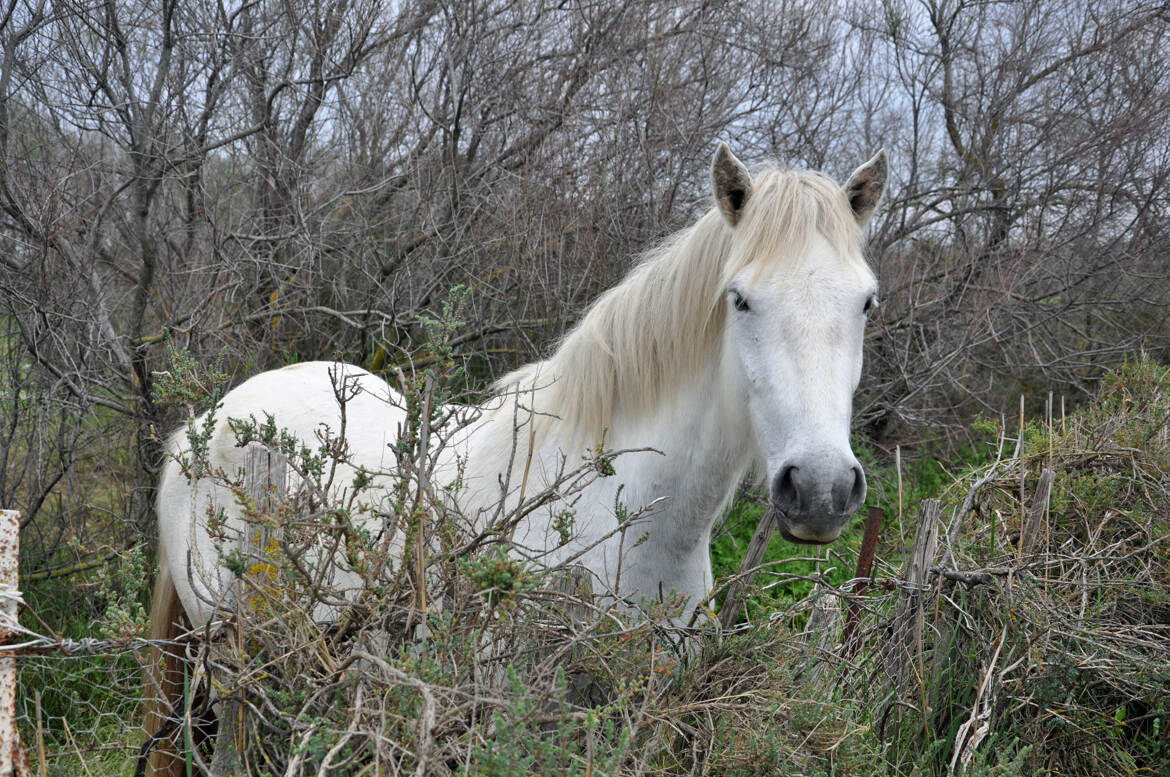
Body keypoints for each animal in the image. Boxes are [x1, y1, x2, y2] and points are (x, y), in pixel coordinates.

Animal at [150, 142, 889, 772]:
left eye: (865, 302)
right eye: (740, 299)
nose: (821, 489)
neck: (619, 520)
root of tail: (204, 422)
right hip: (236, 664)